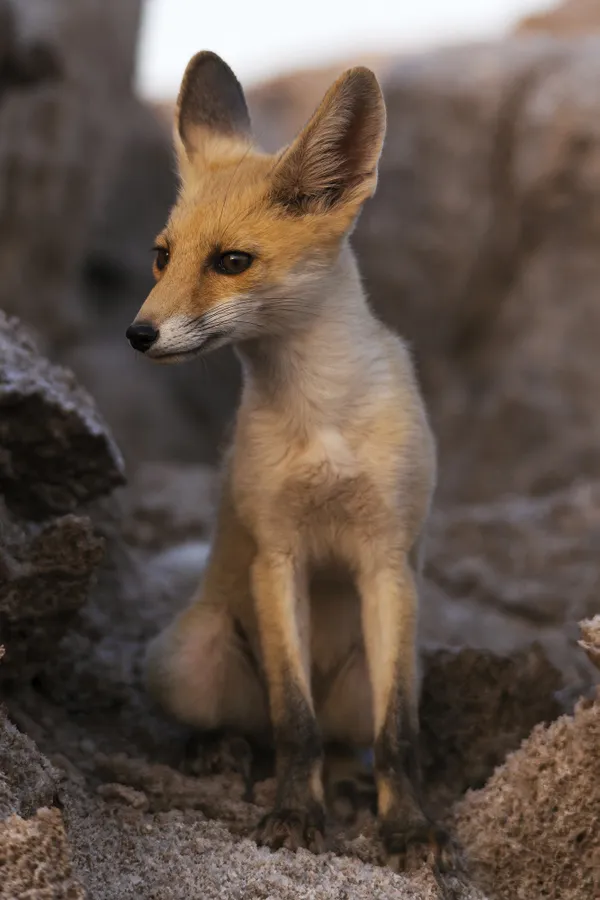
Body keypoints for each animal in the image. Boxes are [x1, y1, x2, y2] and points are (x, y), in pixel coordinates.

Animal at [126, 51, 452, 869]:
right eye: (162, 257)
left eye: (232, 261)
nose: (138, 335)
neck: (321, 417)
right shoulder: (278, 556)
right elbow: (291, 721)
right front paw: (295, 815)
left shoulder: (387, 560)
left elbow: (397, 739)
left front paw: (407, 827)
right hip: (185, 659)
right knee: (259, 724)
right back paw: (222, 753)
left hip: (380, 672)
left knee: (342, 737)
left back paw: (342, 780)